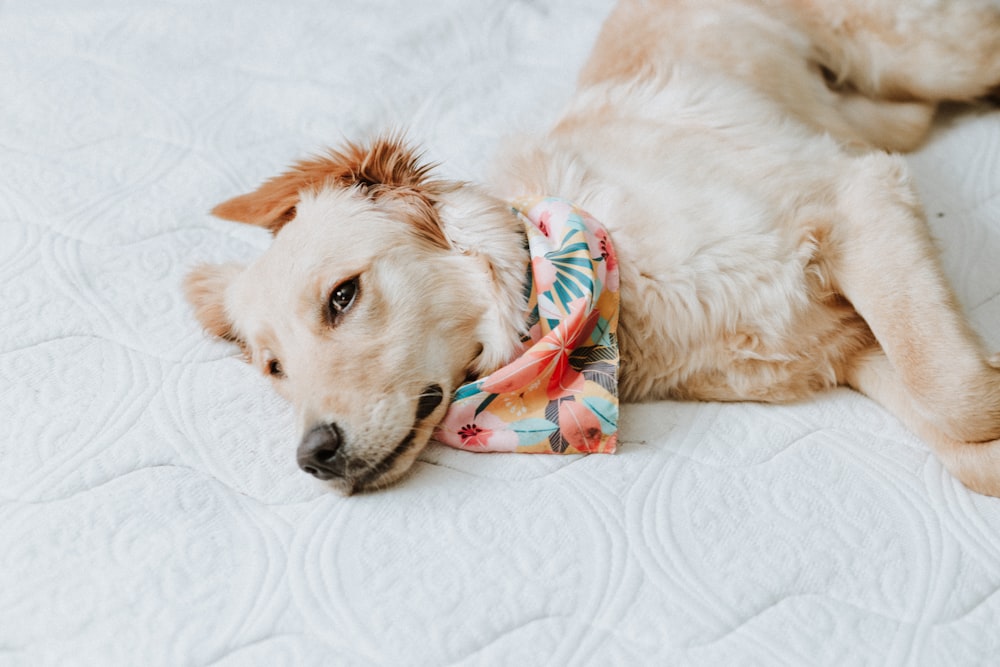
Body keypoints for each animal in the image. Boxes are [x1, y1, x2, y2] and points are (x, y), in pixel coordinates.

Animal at [184, 0, 1000, 494]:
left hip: (940, 54)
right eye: (273, 368)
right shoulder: (842, 345)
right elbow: (963, 438)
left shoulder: (860, 200)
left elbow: (953, 393)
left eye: (343, 297)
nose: (312, 456)